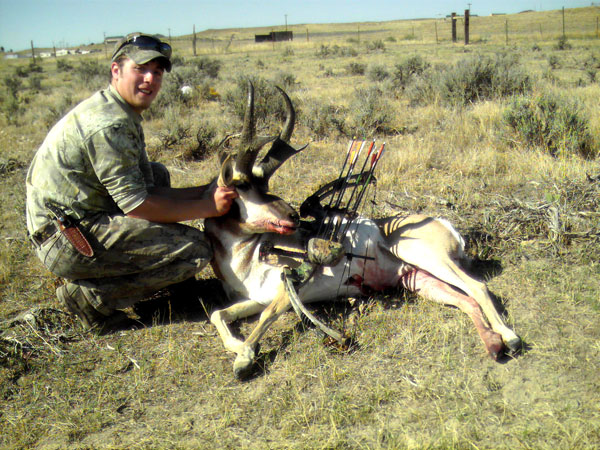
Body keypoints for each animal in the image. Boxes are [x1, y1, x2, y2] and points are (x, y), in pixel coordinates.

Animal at [205, 82, 520, 378]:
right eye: (246, 186)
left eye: (264, 185)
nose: (294, 215)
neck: (246, 258)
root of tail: (443, 223)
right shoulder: (255, 298)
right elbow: (218, 314)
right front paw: (239, 346)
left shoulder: (286, 289)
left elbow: (266, 316)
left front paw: (244, 357)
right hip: (420, 281)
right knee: (466, 299)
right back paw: (493, 343)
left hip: (421, 256)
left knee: (478, 287)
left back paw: (511, 338)